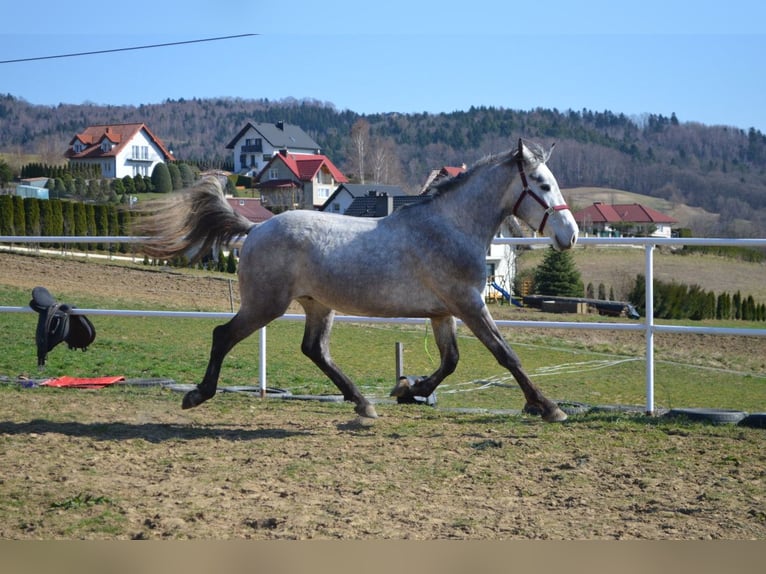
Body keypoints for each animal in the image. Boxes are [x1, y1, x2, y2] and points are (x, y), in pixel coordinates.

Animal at [134, 139, 578, 422]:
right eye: (543, 185)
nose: (570, 235)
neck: (450, 226)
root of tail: (256, 229)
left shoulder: (443, 312)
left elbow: (450, 360)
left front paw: (408, 389)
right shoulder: (469, 303)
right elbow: (506, 355)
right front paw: (549, 407)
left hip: (317, 304)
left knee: (314, 349)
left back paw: (363, 403)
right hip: (265, 305)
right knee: (223, 335)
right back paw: (197, 394)